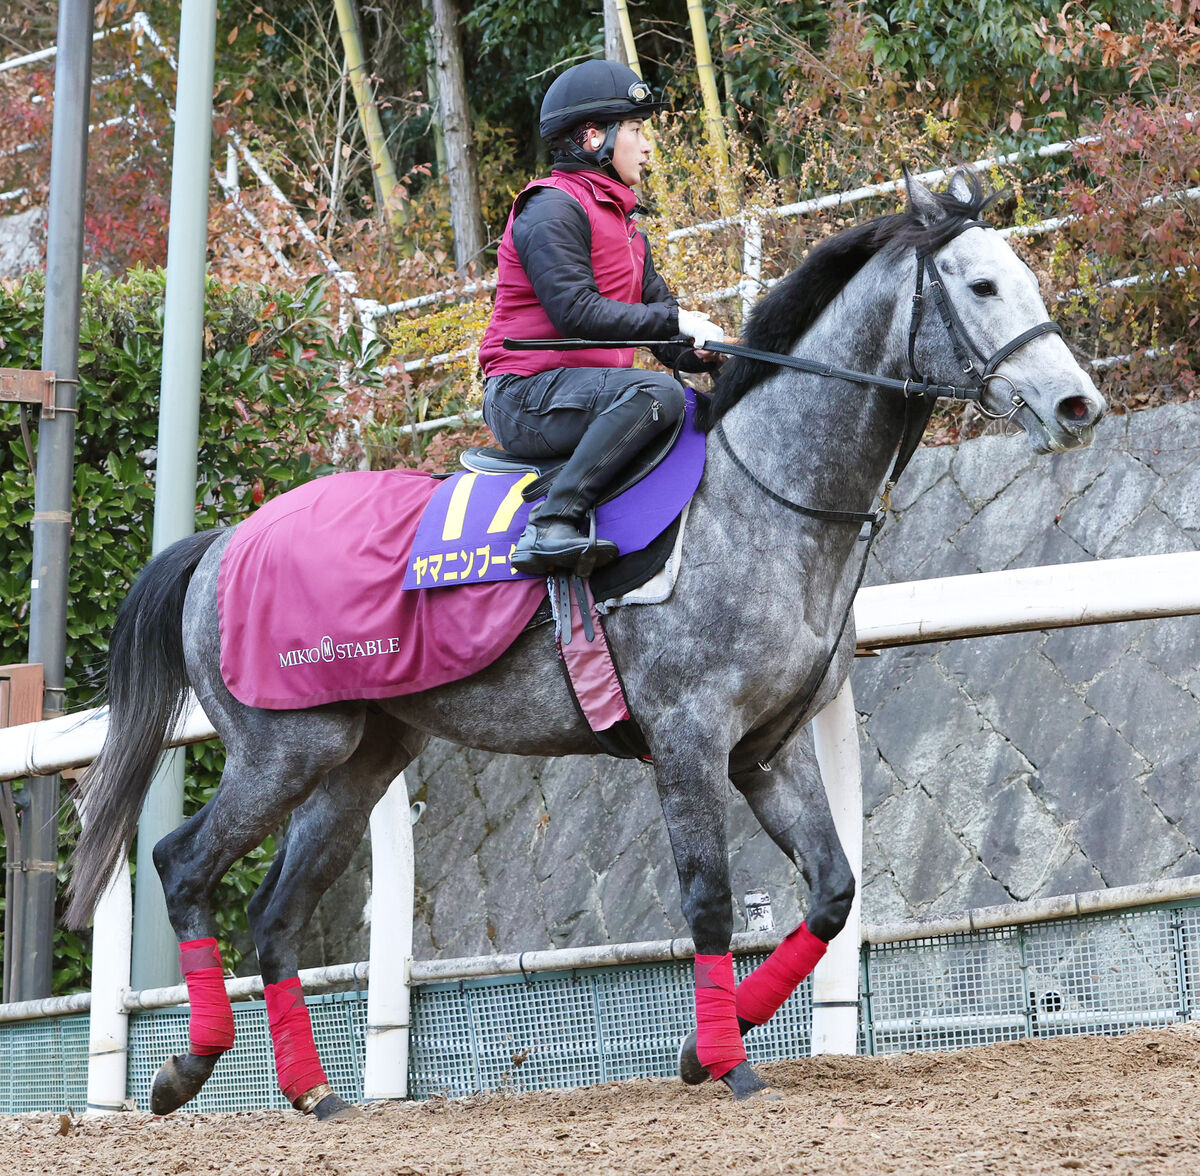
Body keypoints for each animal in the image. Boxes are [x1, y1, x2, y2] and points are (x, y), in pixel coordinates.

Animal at [65, 170, 1104, 1118]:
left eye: (1023, 274)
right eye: (982, 285)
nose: (1077, 405)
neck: (766, 499)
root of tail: (218, 543)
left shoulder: (768, 749)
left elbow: (834, 890)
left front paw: (705, 1047)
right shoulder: (687, 737)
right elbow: (709, 897)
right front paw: (725, 1062)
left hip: (359, 757)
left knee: (274, 915)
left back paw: (312, 1091)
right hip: (285, 746)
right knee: (182, 866)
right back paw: (188, 1066)